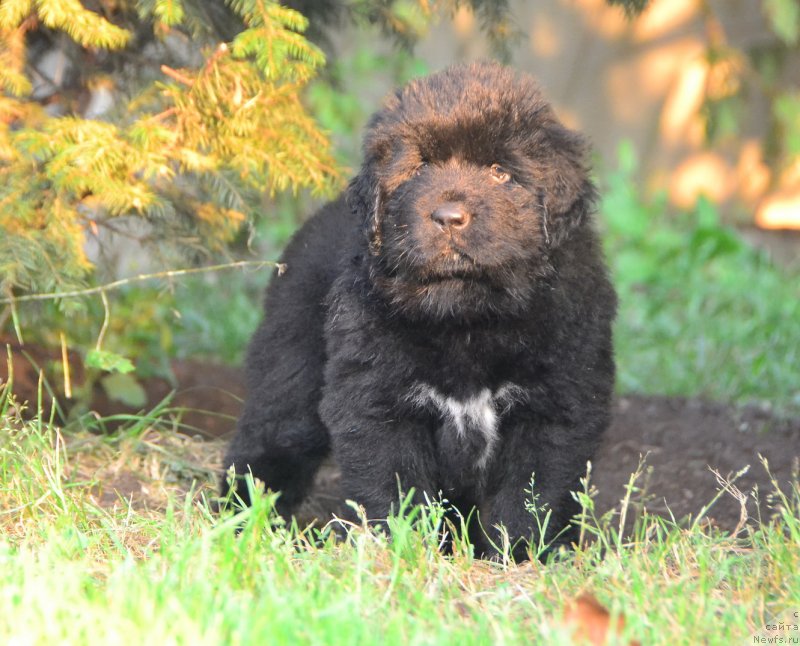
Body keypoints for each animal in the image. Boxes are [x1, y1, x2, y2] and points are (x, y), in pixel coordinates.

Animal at [225, 63, 620, 564]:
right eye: (420, 168)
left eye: (500, 172)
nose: (449, 216)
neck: (466, 317)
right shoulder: (376, 403)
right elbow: (397, 489)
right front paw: (405, 553)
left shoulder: (556, 406)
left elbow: (531, 496)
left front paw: (520, 557)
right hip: (290, 371)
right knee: (268, 443)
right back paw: (239, 523)